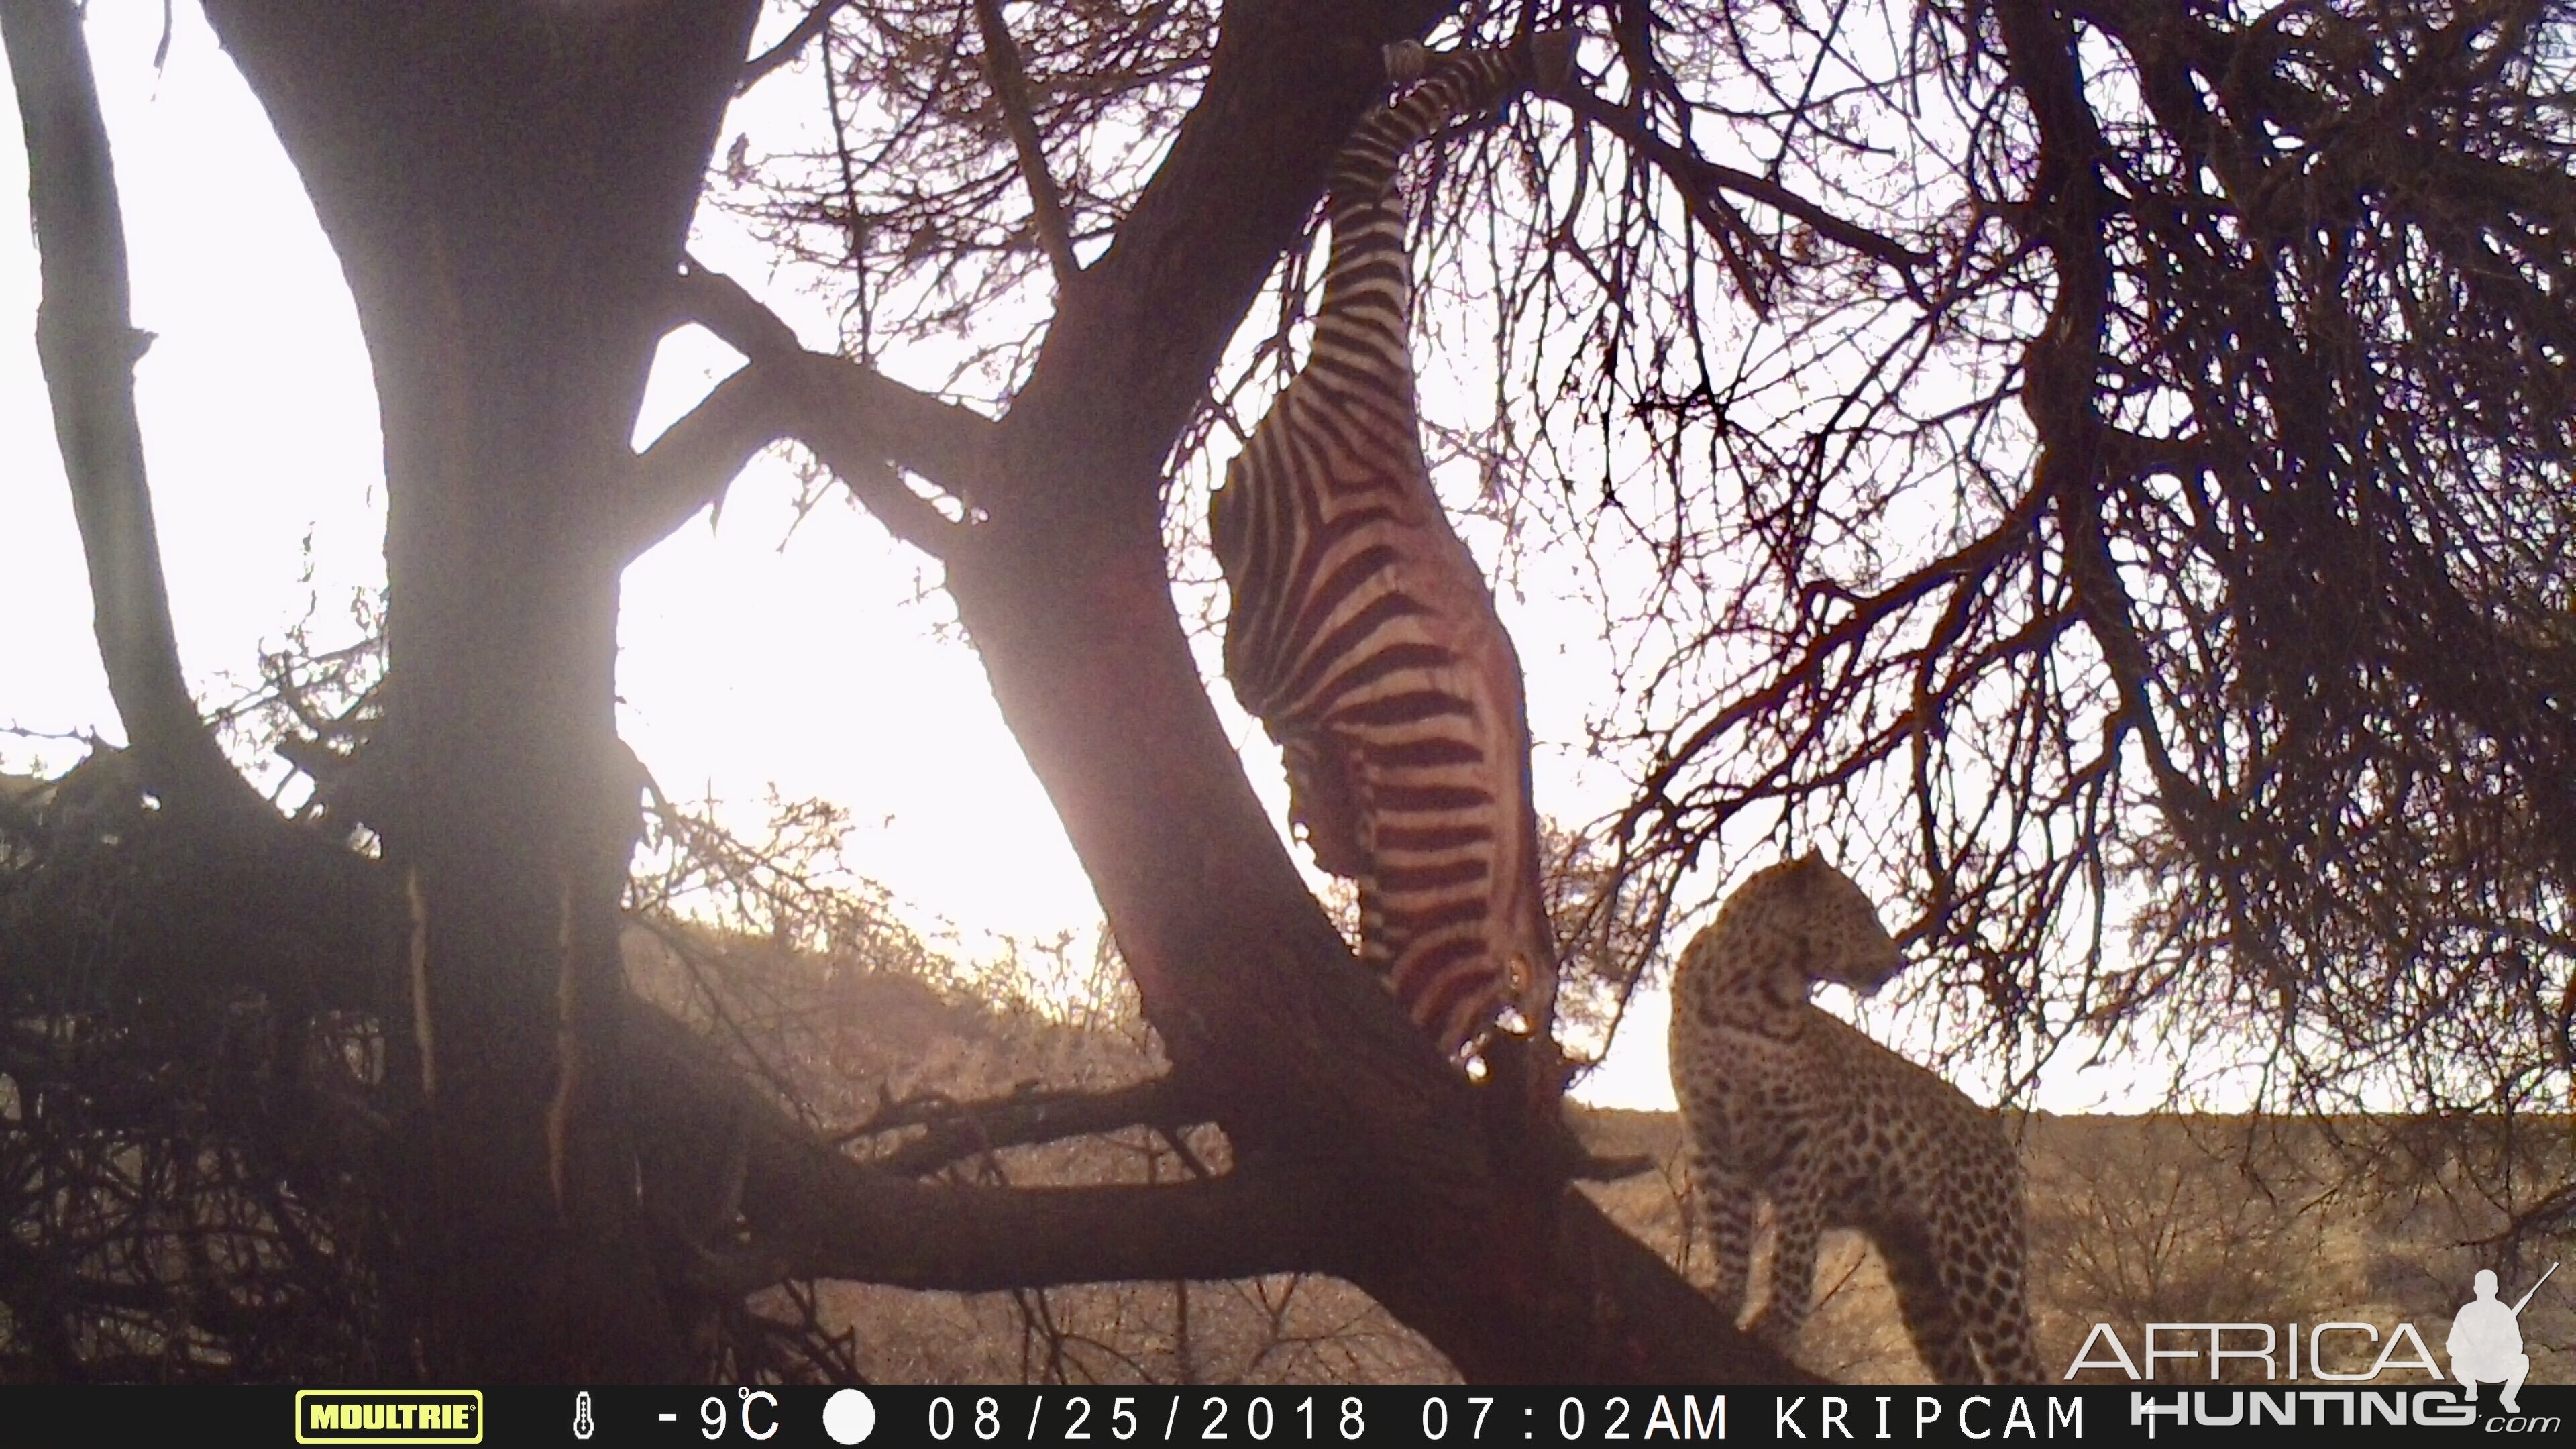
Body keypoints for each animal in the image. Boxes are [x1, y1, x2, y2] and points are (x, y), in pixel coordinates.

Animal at [1669, 851, 2050, 1382]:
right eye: (1863, 913)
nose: (1899, 962)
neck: (1751, 995)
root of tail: (1995, 1134)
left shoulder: (1803, 1144)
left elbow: (1793, 1252)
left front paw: (1778, 1326)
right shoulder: (1710, 1136)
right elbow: (1726, 1231)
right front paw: (1724, 1294)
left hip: (1981, 1254)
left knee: (2022, 1365)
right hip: (1919, 1278)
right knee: (1964, 1369)